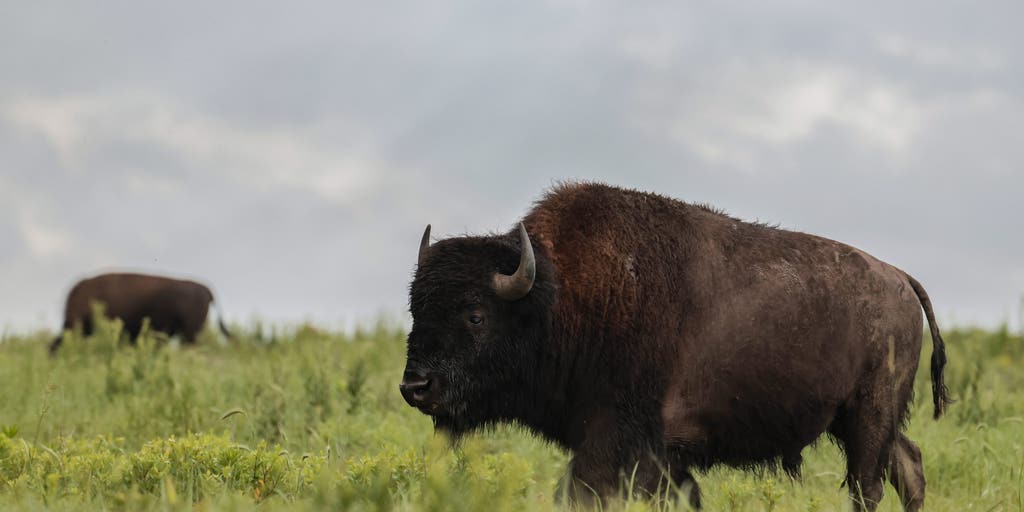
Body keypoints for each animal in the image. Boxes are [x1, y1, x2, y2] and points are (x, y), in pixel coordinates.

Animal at [400, 182, 950, 511]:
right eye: (415, 310)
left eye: (475, 315)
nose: (415, 386)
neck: (559, 297)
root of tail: (899, 278)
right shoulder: (656, 454)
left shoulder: (615, 440)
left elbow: (584, 491)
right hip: (860, 420)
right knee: (908, 464)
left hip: (868, 414)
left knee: (868, 483)